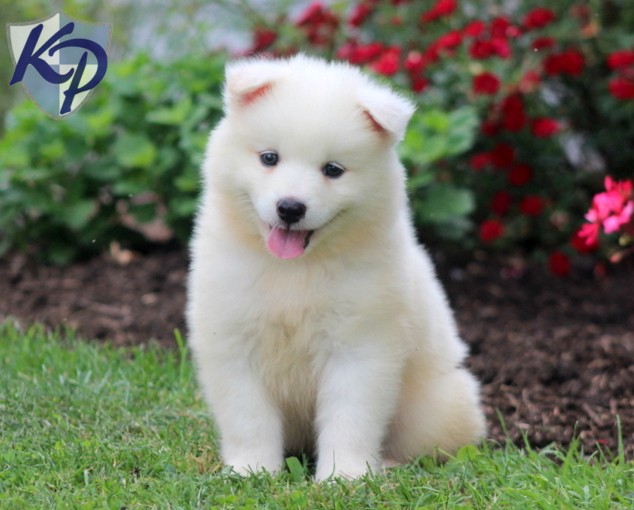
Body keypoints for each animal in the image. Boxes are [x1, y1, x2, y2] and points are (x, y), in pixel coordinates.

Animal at [186, 53, 484, 480]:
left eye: (332, 169)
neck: (295, 270)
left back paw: (389, 464)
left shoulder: (359, 345)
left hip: (434, 407)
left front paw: (343, 476)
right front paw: (252, 470)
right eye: (269, 158)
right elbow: (248, 417)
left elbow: (350, 417)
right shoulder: (233, 338)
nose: (290, 208)